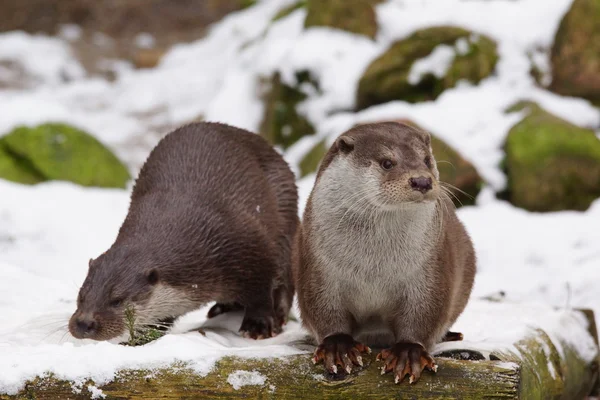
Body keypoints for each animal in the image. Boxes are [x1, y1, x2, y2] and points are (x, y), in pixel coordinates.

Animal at [69, 121, 298, 340]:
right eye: (81, 296)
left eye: (116, 300)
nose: (83, 323)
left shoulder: (252, 244)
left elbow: (261, 292)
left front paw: (258, 325)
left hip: (285, 210)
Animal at [292, 122, 476, 384]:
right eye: (387, 162)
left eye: (426, 160)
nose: (422, 181)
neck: (373, 267)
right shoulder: (319, 269)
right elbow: (324, 310)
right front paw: (338, 347)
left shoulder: (429, 271)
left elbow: (423, 313)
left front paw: (408, 353)